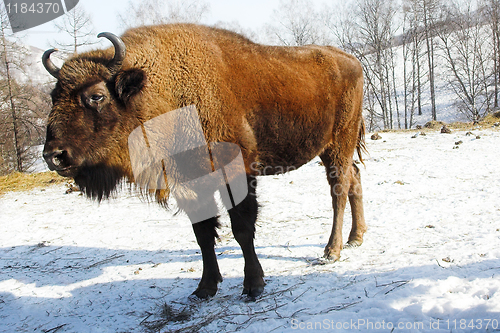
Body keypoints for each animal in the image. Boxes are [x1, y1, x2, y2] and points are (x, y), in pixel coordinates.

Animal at [43, 23, 368, 298]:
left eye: (97, 96)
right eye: (53, 96)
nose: (54, 156)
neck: (166, 89)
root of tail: (351, 60)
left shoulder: (234, 174)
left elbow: (241, 227)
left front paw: (253, 284)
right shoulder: (188, 184)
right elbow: (202, 233)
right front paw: (205, 288)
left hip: (339, 144)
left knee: (339, 190)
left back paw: (332, 251)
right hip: (333, 148)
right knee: (354, 178)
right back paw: (356, 237)